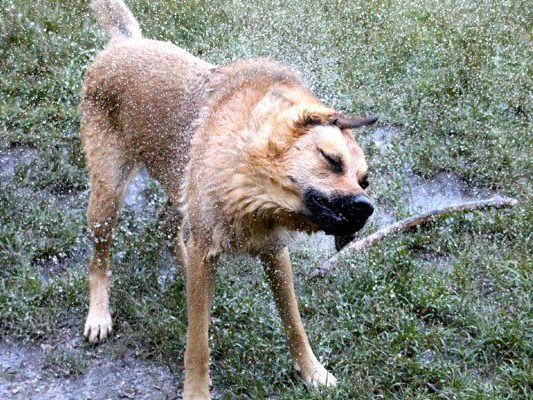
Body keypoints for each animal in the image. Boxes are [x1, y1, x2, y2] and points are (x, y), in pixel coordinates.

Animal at [81, 1, 376, 398]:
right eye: (331, 160)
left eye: (364, 181)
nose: (366, 208)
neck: (251, 190)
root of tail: (123, 44)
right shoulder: (215, 247)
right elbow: (197, 342)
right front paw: (196, 390)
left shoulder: (274, 253)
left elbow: (293, 321)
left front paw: (313, 372)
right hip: (106, 196)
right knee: (100, 258)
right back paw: (99, 314)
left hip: (179, 189)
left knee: (169, 230)